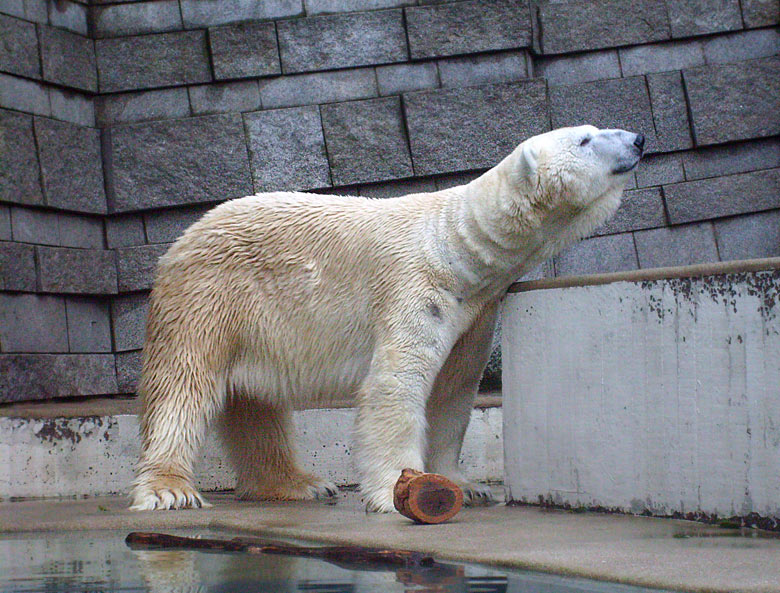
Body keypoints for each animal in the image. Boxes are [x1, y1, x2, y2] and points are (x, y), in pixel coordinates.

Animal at [128, 123, 644, 508]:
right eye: (585, 139)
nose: (639, 139)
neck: (456, 246)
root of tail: (181, 240)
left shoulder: (476, 311)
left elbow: (454, 392)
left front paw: (466, 485)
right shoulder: (415, 287)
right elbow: (396, 385)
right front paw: (398, 485)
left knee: (256, 405)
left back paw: (300, 484)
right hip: (210, 298)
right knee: (183, 385)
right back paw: (171, 489)